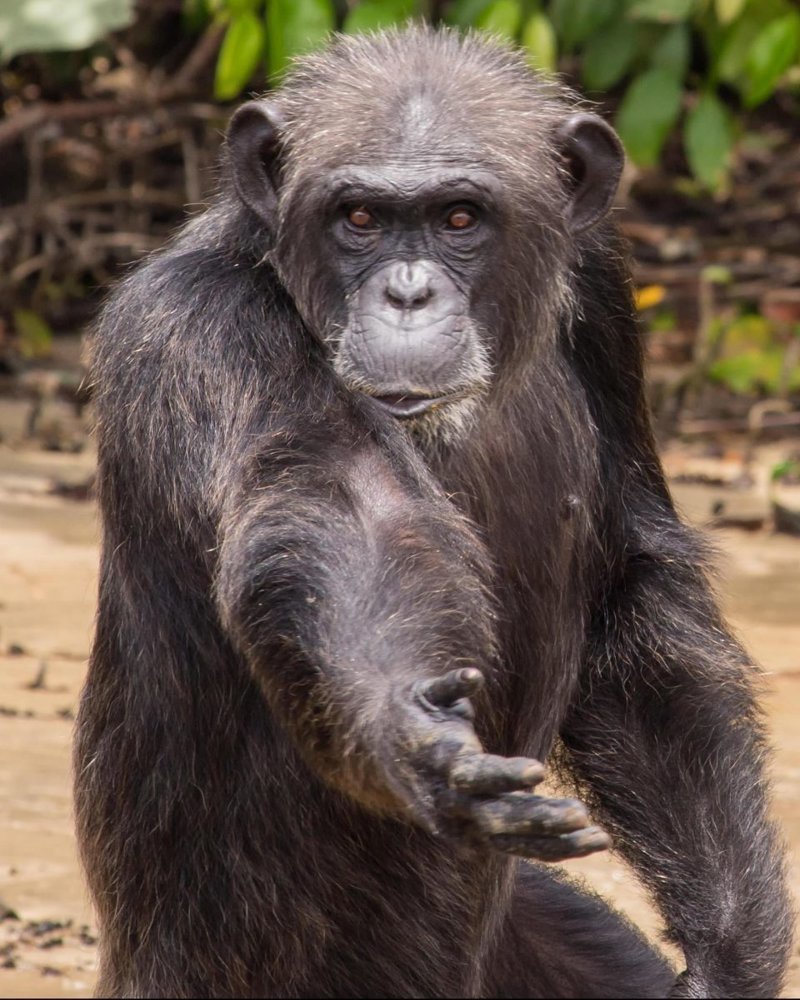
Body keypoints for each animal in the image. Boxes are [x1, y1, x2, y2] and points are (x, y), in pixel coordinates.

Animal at [75, 25, 792, 1000]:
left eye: (460, 219)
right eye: (359, 219)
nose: (408, 292)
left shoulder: (602, 290)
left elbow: (632, 597)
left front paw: (732, 948)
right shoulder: (202, 331)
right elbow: (346, 516)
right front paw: (416, 740)